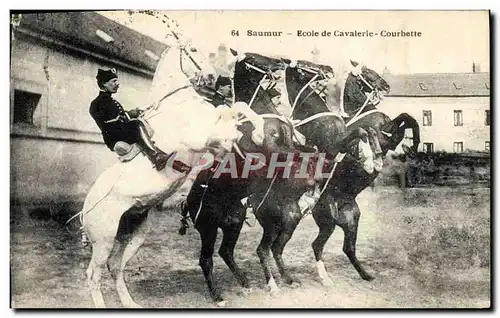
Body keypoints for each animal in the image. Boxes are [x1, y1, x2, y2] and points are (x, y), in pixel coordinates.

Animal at [80, 41, 258, 306]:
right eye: (192, 50)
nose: (211, 77)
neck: (176, 103)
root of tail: (85, 209)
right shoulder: (199, 137)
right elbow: (226, 123)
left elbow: (238, 108)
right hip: (104, 238)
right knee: (94, 274)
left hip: (133, 233)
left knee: (116, 267)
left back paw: (130, 303)